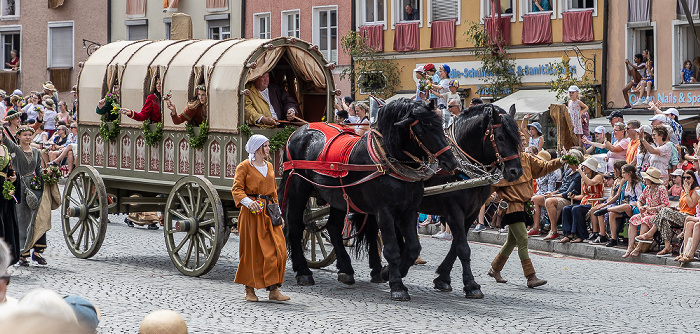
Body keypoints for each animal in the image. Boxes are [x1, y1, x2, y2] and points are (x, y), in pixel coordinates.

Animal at [278, 98, 460, 300]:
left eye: (440, 125)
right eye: (424, 128)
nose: (452, 162)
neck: (387, 159)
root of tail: (300, 131)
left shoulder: (409, 211)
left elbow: (412, 248)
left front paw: (389, 272)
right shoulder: (384, 211)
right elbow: (392, 249)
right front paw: (397, 285)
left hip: (338, 198)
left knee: (333, 228)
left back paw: (346, 269)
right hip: (297, 188)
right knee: (295, 226)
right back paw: (303, 271)